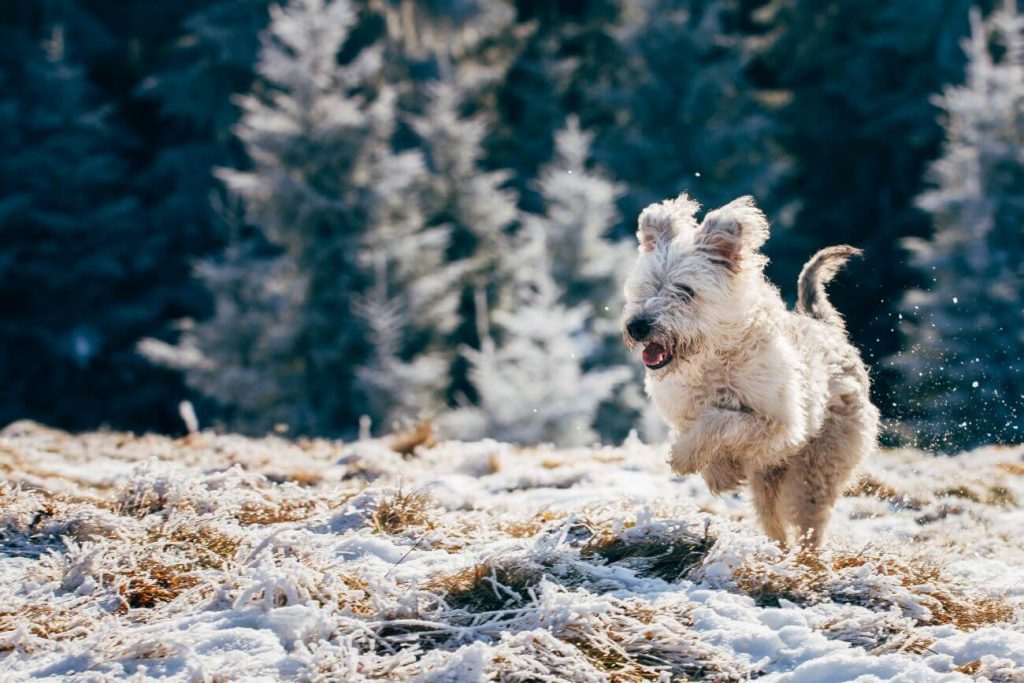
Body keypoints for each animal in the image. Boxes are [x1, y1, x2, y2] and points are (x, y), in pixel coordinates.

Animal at [622, 193, 880, 548]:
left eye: (685, 291)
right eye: (646, 287)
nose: (638, 326)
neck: (712, 360)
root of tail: (827, 327)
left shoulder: (781, 425)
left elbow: (721, 421)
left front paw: (685, 457)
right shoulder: (686, 410)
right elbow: (705, 426)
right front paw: (720, 473)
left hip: (815, 470)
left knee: (807, 518)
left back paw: (806, 557)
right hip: (766, 486)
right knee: (774, 521)